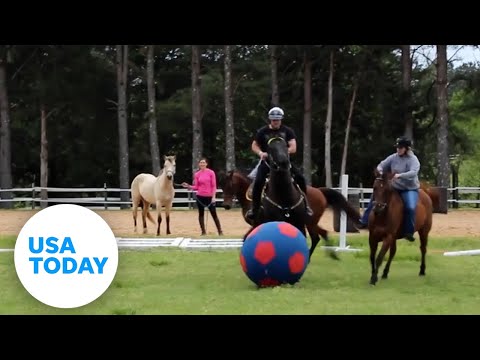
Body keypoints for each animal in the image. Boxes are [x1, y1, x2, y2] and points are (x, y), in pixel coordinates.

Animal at [219, 142, 362, 260]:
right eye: (221, 186)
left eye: (229, 185)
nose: (226, 205)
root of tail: (320, 191)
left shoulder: (258, 223)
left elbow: (246, 238)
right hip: (309, 222)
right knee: (321, 234)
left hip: (309, 222)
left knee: (316, 237)